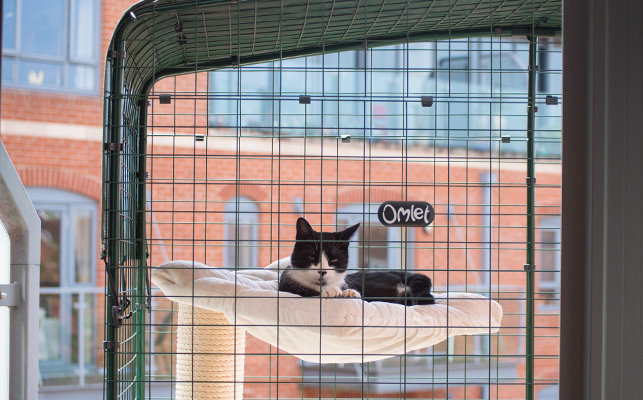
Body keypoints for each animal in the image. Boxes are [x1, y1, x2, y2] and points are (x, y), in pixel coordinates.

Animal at [280, 216, 436, 306]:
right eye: (312, 257)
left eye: (334, 259)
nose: (322, 271)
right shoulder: (285, 286)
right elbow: (301, 292)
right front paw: (330, 291)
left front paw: (349, 292)